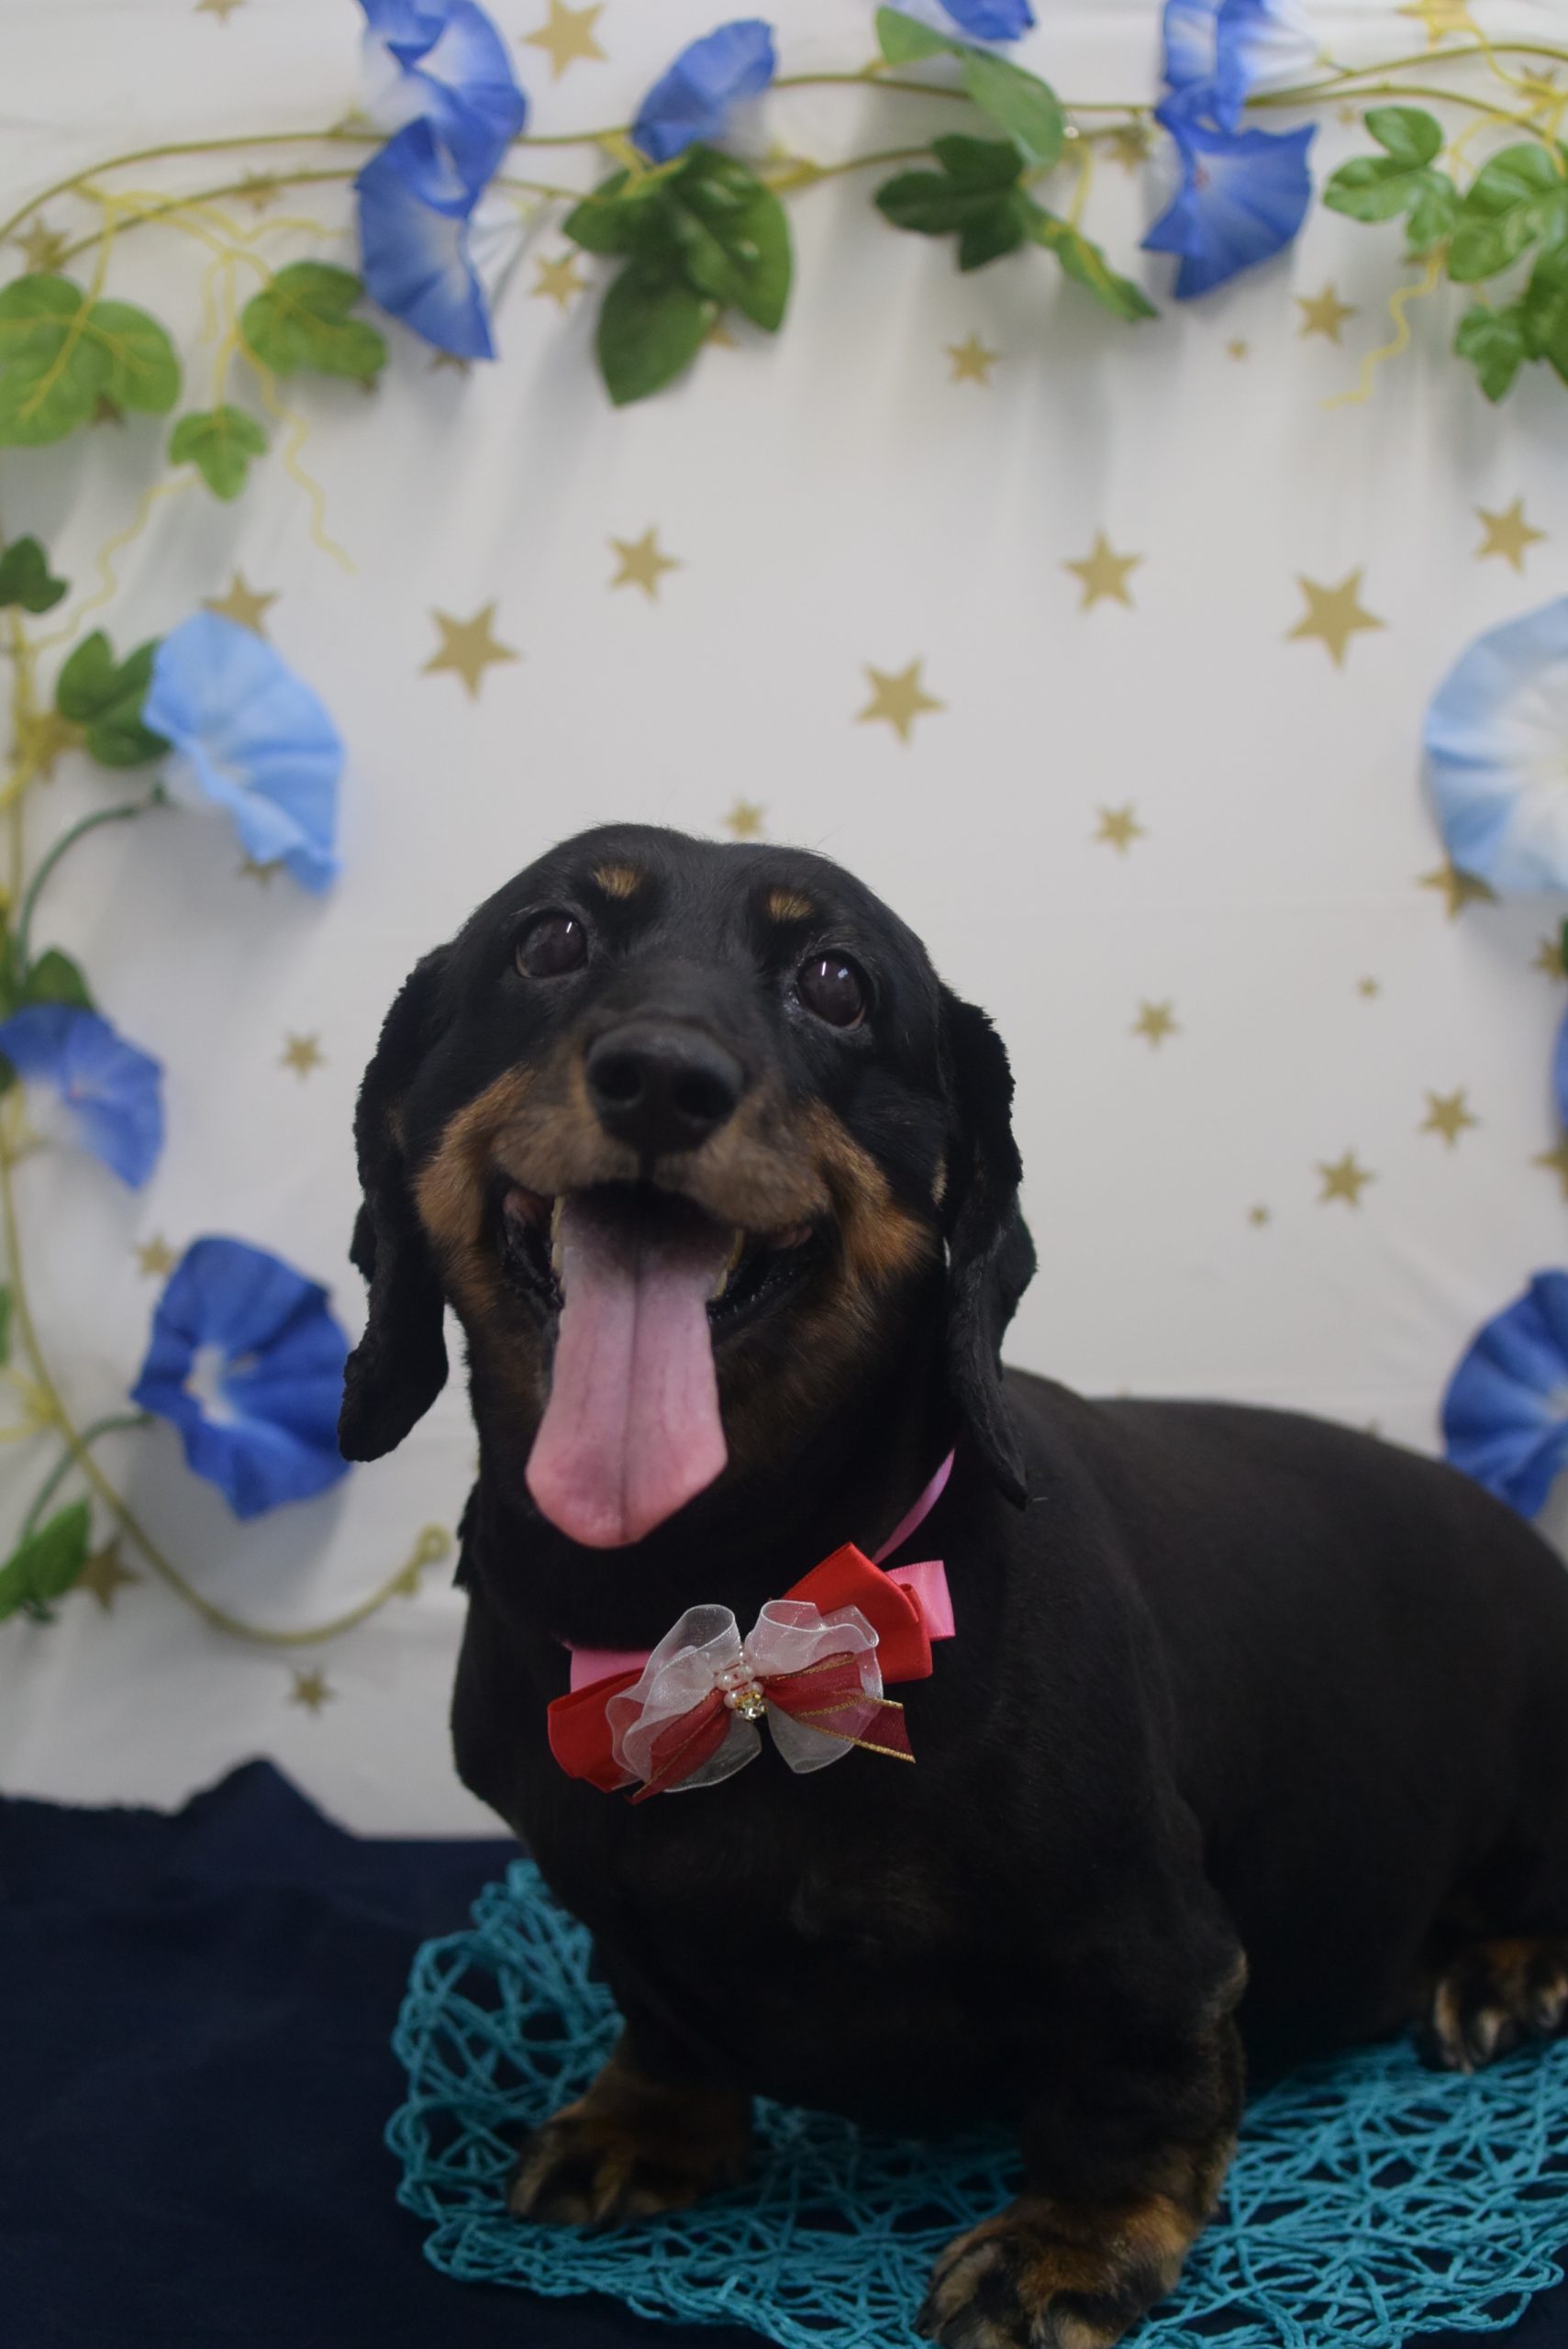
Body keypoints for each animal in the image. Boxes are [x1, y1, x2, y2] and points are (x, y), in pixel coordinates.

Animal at [341, 822, 1568, 2348]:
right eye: (551, 939)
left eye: (837, 982)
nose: (664, 1076)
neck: (720, 1618)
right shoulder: (610, 1904)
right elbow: (665, 2017)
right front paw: (649, 2123)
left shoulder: (1144, 1940)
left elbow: (1130, 2092)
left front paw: (1068, 2246)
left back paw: (1507, 1966)